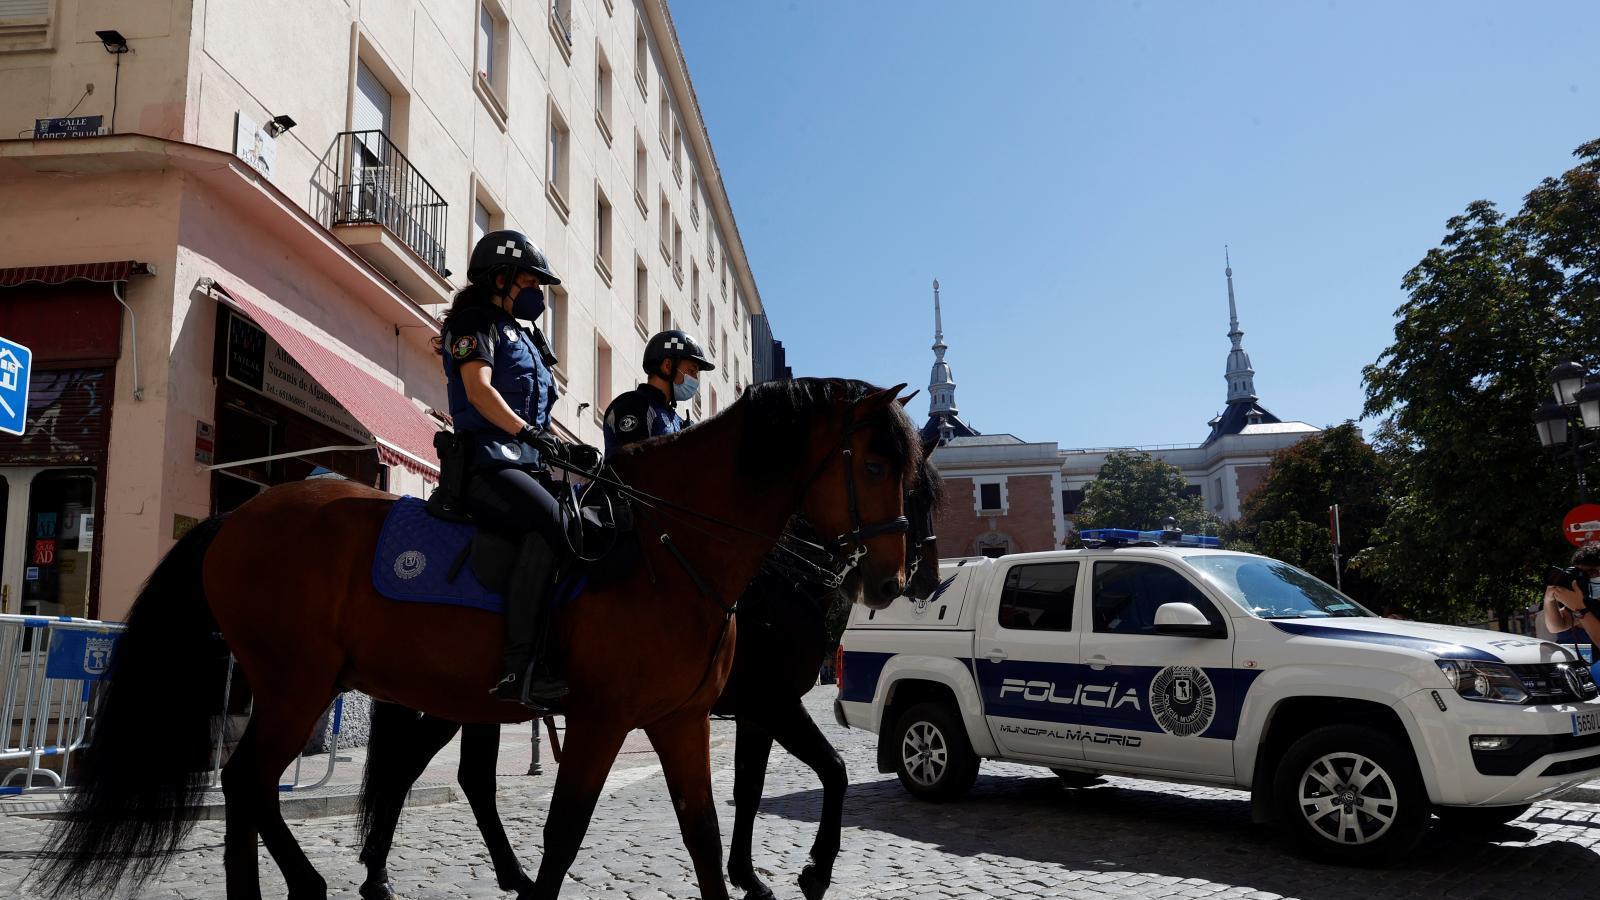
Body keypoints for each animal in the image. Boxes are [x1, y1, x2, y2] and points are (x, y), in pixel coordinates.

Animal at [37, 374, 921, 890]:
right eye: (878, 466)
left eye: (914, 471)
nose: (890, 579)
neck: (671, 548)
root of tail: (238, 515)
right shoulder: (612, 718)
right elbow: (566, 835)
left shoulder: (685, 719)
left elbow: (706, 832)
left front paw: (761, 874)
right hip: (298, 685)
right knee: (248, 781)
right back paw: (319, 883)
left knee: (296, 784)